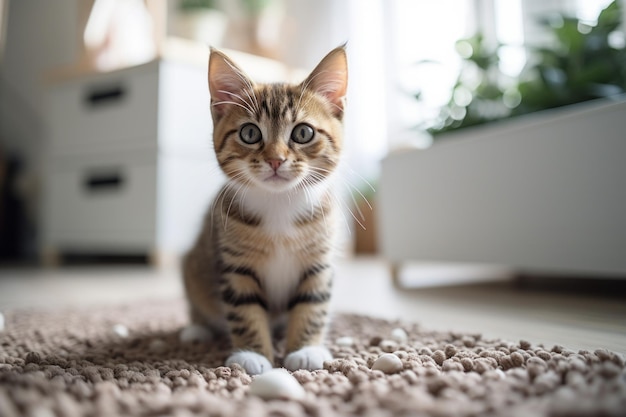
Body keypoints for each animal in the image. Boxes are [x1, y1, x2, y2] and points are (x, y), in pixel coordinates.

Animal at [180, 45, 346, 374]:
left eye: (303, 133)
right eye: (249, 133)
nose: (275, 160)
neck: (280, 204)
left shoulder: (319, 261)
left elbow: (314, 302)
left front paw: (306, 349)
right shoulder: (235, 262)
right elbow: (244, 308)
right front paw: (252, 355)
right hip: (194, 263)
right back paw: (197, 328)